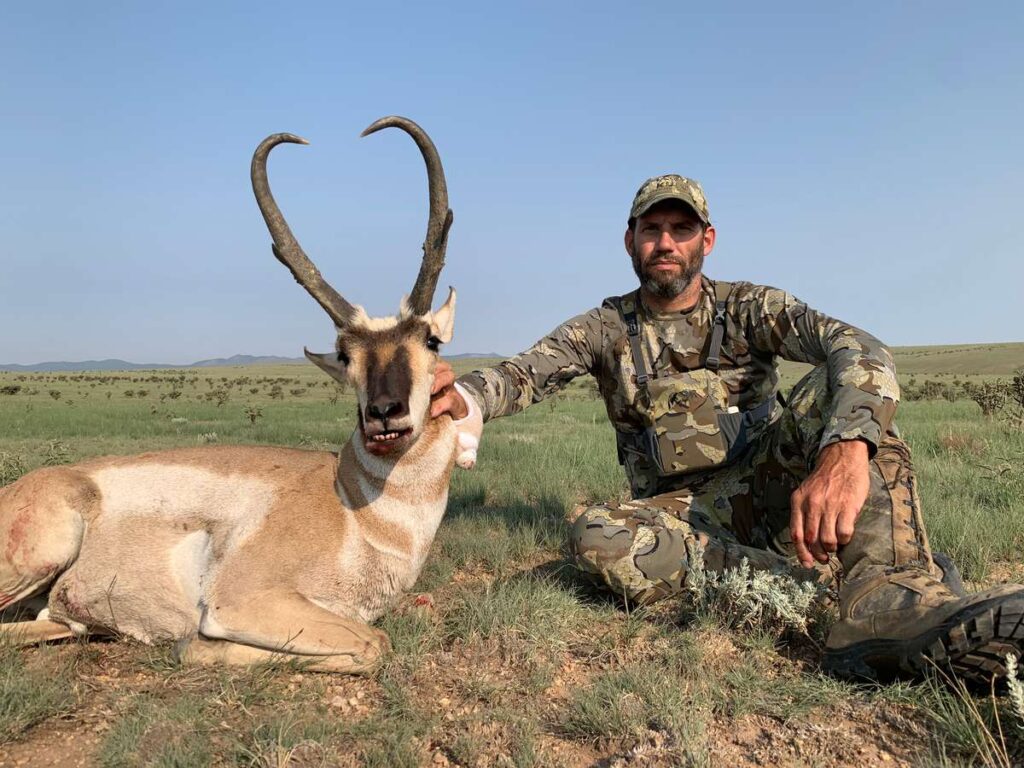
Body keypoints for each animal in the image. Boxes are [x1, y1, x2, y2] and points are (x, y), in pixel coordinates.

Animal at [0, 116, 480, 673]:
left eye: (431, 340)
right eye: (344, 354)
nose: (384, 414)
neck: (350, 505)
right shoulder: (246, 600)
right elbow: (373, 643)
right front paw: (193, 643)